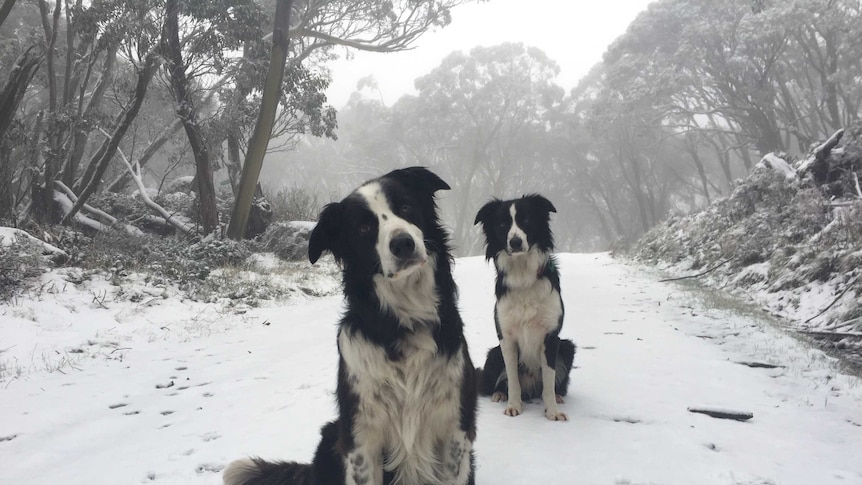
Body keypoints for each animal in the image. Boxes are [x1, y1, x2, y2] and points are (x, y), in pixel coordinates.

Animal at [224, 167, 480, 484]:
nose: (403, 244)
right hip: (331, 435)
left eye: (406, 207)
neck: (400, 325)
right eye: (364, 228)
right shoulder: (361, 440)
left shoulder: (455, 432)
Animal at [476, 195, 576, 422]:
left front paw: (552, 412)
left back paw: (558, 396)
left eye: (527, 220)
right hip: (493, 353)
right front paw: (514, 406)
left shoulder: (551, 337)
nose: (515, 242)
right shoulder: (506, 337)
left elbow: (549, 380)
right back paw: (499, 394)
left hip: (567, 347)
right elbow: (513, 379)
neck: (522, 275)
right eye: (502, 223)